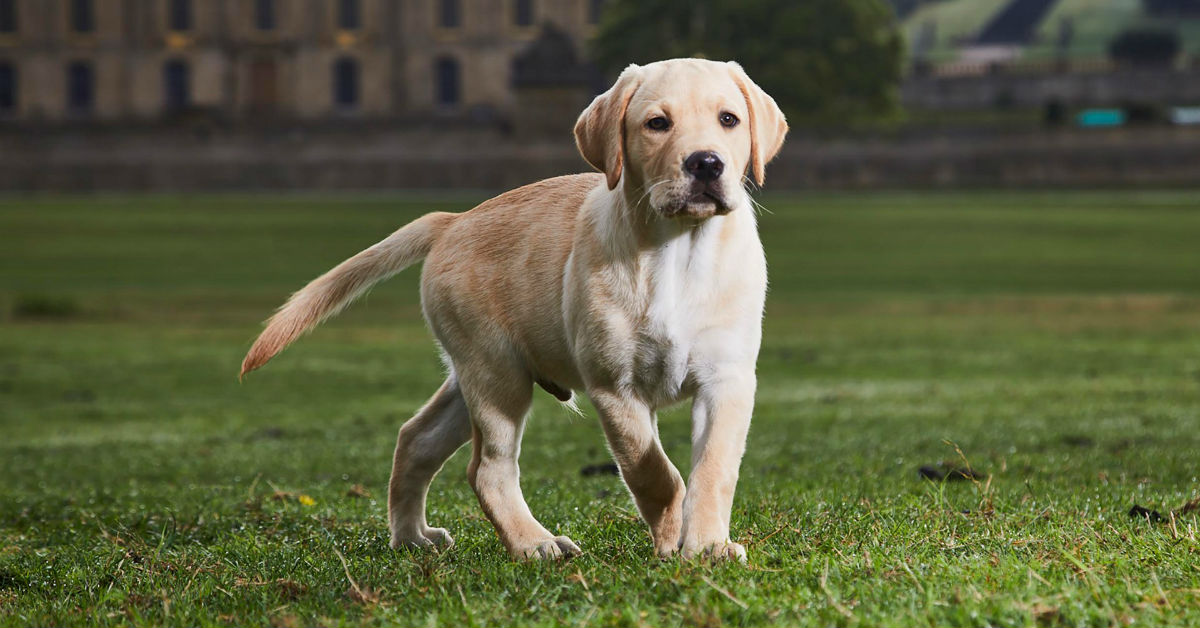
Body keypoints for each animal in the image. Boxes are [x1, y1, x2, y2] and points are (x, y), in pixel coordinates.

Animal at [241, 57, 787, 559]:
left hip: (476, 375)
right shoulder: (614, 387)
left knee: (416, 438)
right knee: (487, 469)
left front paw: (708, 545)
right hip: (496, 373)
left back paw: (412, 537)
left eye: (729, 119)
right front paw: (672, 537)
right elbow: (653, 471)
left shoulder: (728, 379)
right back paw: (534, 543)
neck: (677, 252)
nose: (706, 163)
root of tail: (453, 220)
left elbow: (713, 468)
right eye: (657, 123)